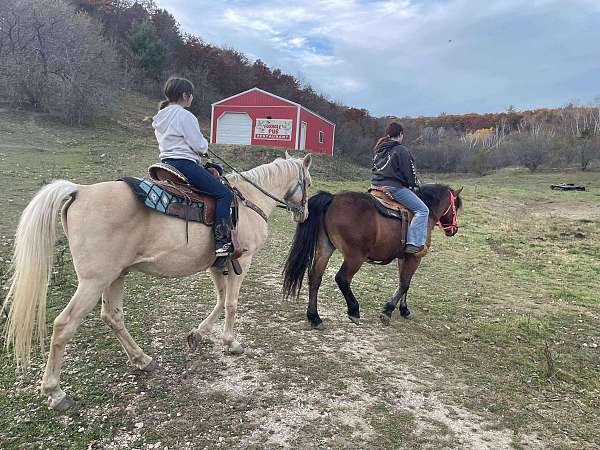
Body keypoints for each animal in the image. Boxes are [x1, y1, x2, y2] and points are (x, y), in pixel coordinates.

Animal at [3, 153, 314, 410]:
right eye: (308, 182)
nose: (305, 214)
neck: (249, 200)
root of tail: (80, 191)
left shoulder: (218, 265)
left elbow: (219, 300)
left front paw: (197, 334)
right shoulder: (241, 262)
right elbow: (231, 303)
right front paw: (230, 343)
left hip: (115, 275)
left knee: (112, 316)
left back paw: (143, 360)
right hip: (94, 281)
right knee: (64, 325)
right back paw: (56, 393)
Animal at [284, 185, 462, 328]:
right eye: (455, 207)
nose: (454, 229)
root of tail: (332, 198)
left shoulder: (403, 257)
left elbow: (404, 283)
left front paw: (404, 310)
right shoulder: (415, 258)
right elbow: (405, 284)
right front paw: (388, 311)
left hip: (325, 249)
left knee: (315, 277)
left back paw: (314, 317)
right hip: (355, 257)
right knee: (342, 278)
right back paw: (354, 310)